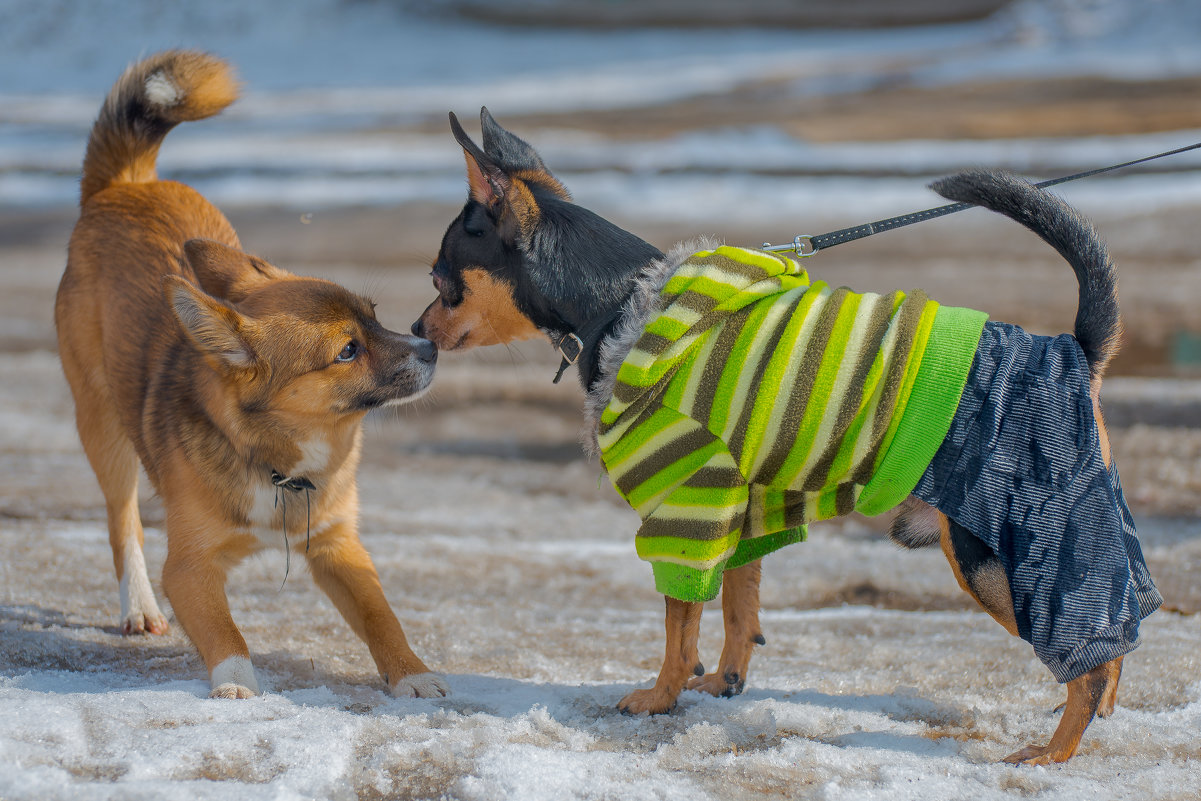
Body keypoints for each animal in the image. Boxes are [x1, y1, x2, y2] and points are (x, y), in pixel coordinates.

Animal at [57, 51, 451, 701]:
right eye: (348, 350)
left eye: (374, 315)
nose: (431, 346)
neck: (285, 466)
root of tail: (125, 186)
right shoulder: (188, 568)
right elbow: (225, 631)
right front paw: (238, 685)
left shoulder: (340, 547)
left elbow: (380, 613)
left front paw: (412, 673)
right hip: (101, 428)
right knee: (123, 523)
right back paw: (138, 605)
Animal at [408, 108, 1157, 763]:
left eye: (440, 279)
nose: (416, 331)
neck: (618, 301)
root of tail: (1072, 347)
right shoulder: (742, 507)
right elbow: (740, 608)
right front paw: (724, 682)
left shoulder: (684, 506)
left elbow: (680, 621)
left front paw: (661, 695)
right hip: (1084, 528)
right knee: (1120, 635)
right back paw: (1095, 720)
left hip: (1007, 548)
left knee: (1088, 656)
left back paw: (1054, 751)